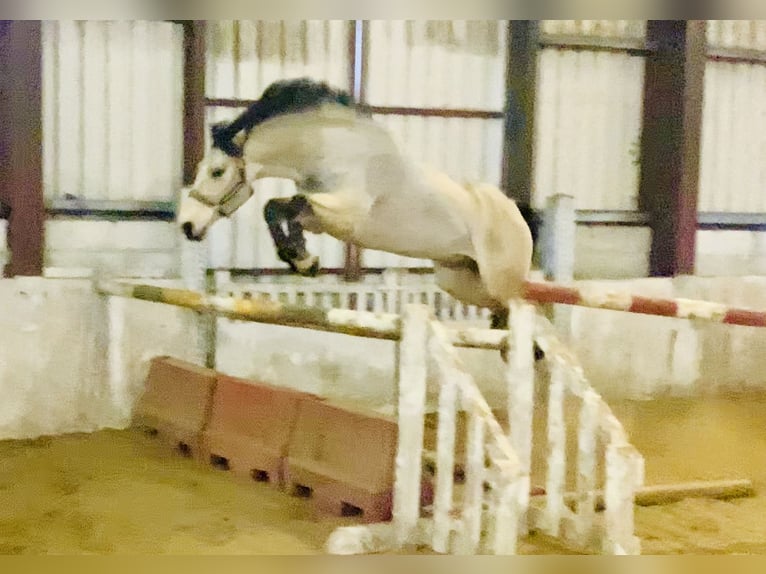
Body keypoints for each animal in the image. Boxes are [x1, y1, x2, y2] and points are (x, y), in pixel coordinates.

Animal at [177, 77, 539, 358]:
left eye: (217, 172)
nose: (187, 225)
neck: (330, 149)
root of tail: (514, 212)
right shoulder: (320, 217)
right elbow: (277, 207)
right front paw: (302, 259)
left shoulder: (346, 214)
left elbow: (288, 205)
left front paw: (302, 258)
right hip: (460, 281)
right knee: (501, 309)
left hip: (499, 281)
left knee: (522, 306)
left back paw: (528, 348)